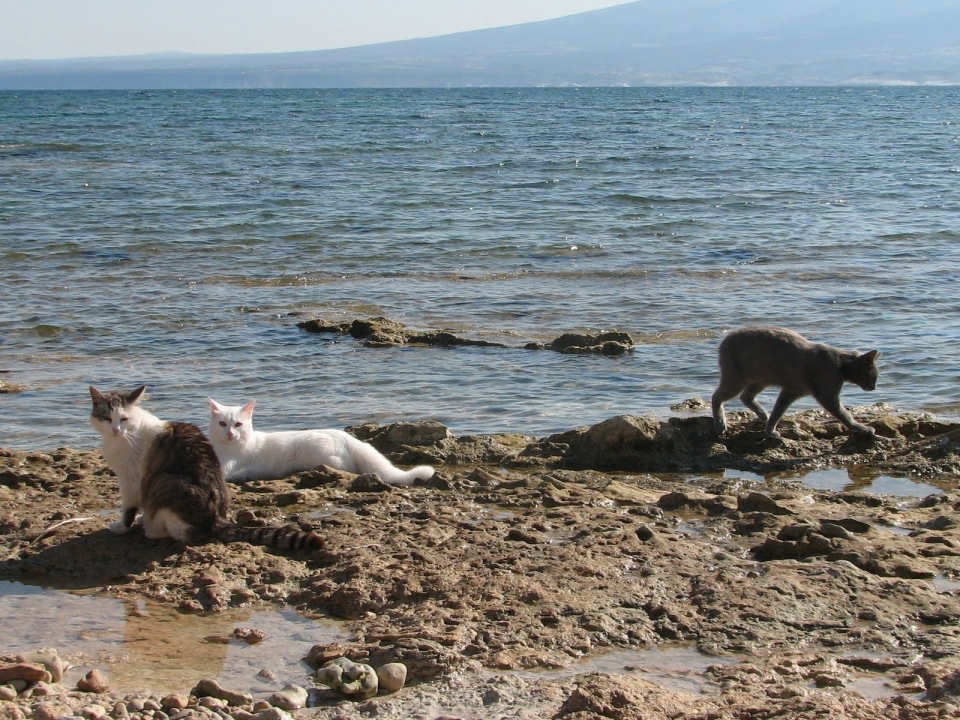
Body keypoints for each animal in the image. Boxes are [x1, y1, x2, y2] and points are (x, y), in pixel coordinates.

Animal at [88, 388, 324, 552]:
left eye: (124, 419)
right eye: (107, 418)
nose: (115, 429)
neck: (127, 435)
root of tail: (216, 519)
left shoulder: (131, 479)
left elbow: (128, 508)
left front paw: (122, 527)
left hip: (163, 482)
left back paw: (149, 528)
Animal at [211, 396, 438, 486]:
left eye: (238, 424)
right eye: (222, 424)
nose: (230, 433)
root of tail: (351, 439)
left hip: (315, 450)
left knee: (348, 468)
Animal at [708, 326, 880, 438]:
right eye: (874, 376)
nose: (874, 387)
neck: (841, 364)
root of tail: (726, 337)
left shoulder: (791, 391)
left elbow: (778, 411)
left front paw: (769, 431)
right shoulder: (827, 394)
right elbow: (845, 415)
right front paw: (863, 429)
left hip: (762, 378)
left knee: (745, 396)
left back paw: (763, 414)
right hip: (737, 378)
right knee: (716, 397)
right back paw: (720, 423)